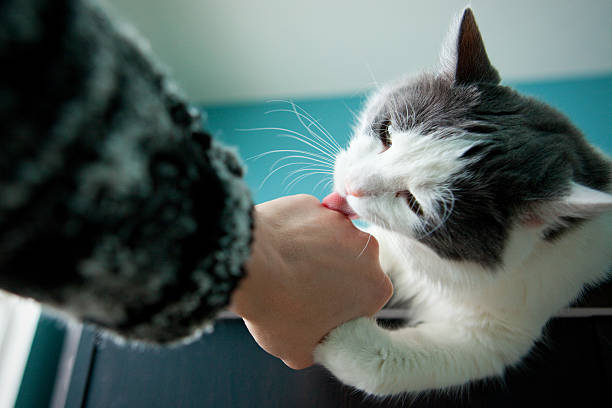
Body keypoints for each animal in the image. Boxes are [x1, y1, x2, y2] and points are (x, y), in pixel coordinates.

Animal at [316, 8, 612, 396]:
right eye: (386, 133)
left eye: (415, 204)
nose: (351, 186)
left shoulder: (494, 335)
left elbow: (388, 364)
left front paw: (333, 331)